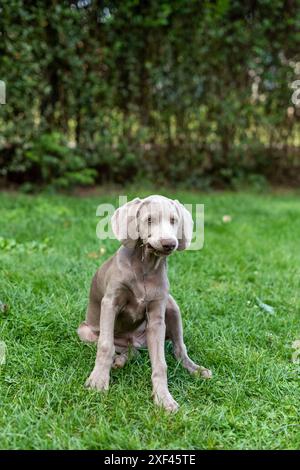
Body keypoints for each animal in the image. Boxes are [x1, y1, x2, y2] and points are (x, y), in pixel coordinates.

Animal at [78, 195, 212, 412]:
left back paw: (195, 369)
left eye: (173, 220)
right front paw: (98, 380)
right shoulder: (110, 302)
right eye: (149, 220)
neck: (145, 265)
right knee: (119, 348)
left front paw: (164, 398)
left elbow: (161, 363)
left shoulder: (157, 315)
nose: (169, 243)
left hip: (172, 307)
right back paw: (118, 360)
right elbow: (105, 345)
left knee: (177, 349)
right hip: (85, 331)